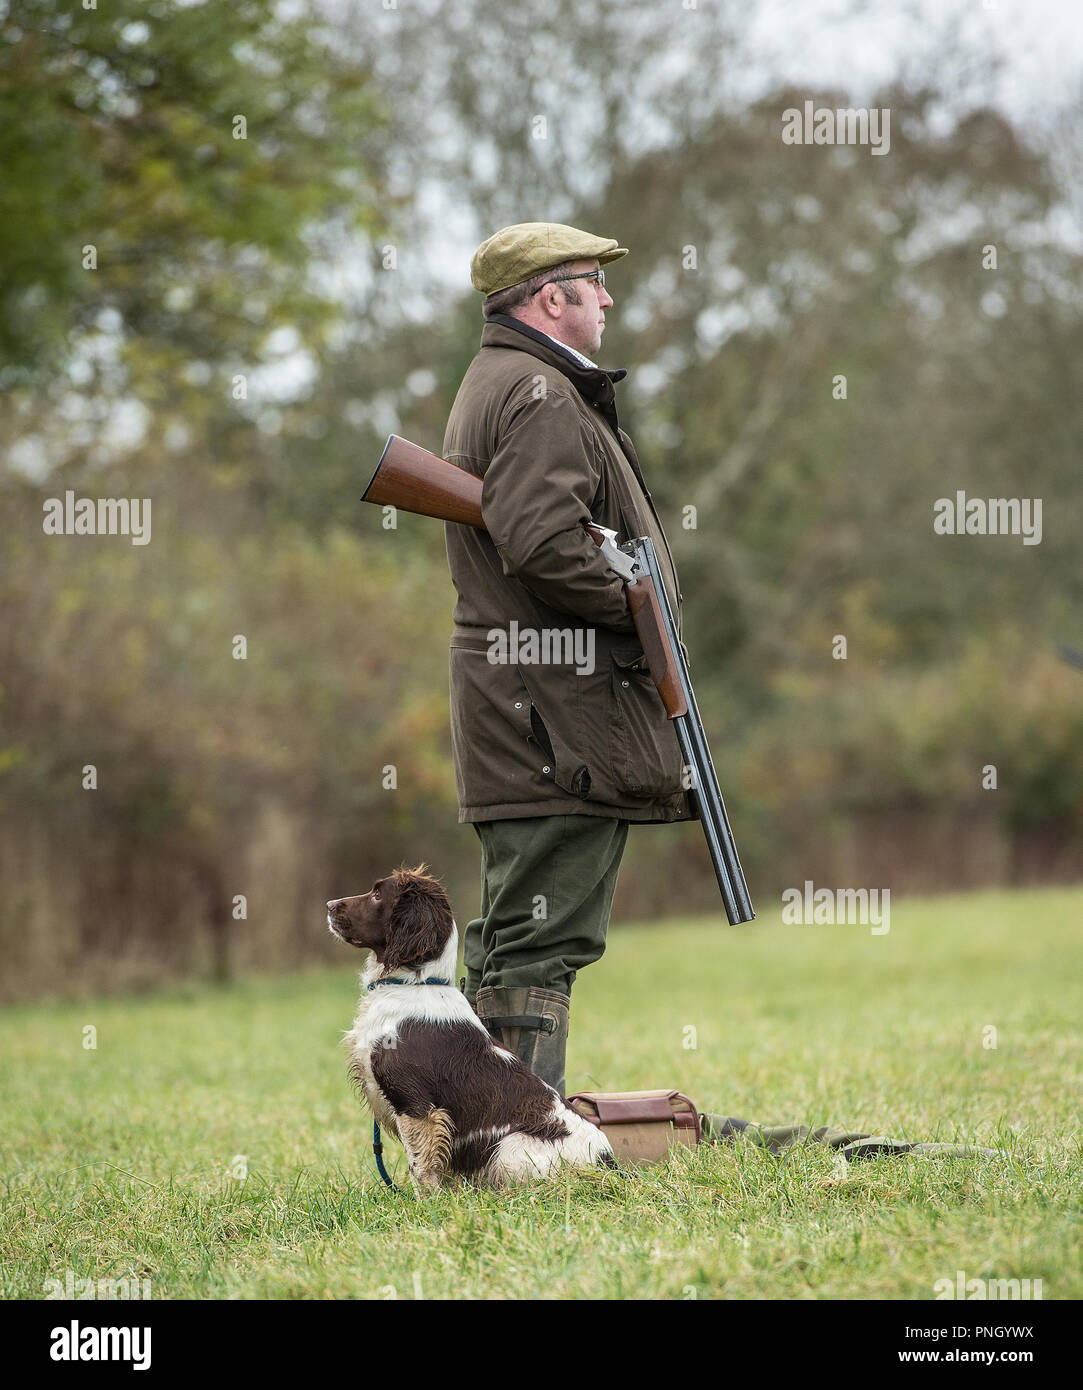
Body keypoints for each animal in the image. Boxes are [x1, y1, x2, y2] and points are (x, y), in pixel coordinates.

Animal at [326, 861, 614, 1189]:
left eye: (377, 894)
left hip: (508, 1146)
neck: (414, 984)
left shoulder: (415, 1102)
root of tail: (608, 1162)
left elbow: (420, 1166)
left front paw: (427, 1199)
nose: (329, 905)